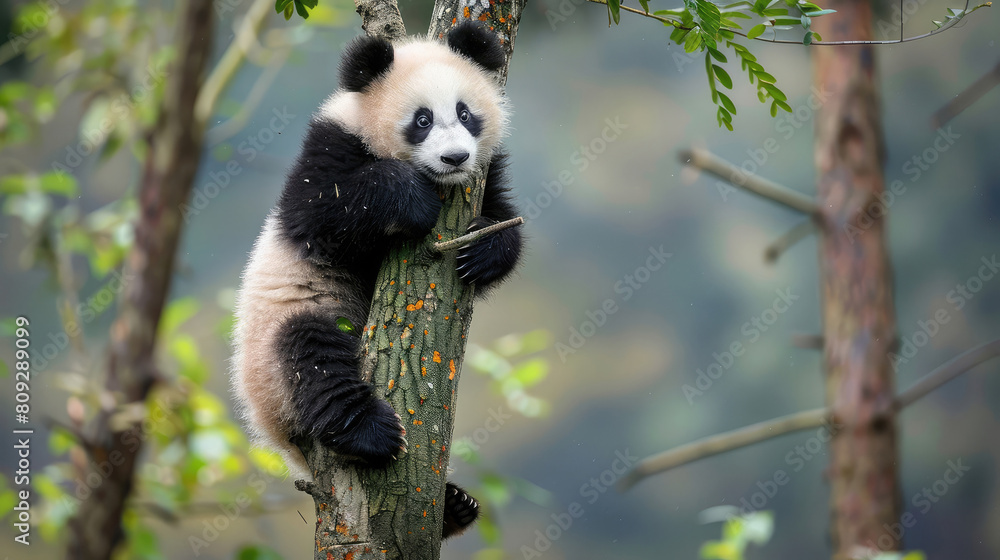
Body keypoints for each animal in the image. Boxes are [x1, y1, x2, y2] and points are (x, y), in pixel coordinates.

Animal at [230, 22, 522, 540]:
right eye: (422, 120)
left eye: (465, 113)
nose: (454, 158)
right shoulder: (329, 149)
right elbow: (321, 212)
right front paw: (410, 198)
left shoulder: (487, 172)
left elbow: (504, 217)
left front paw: (483, 252)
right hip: (281, 343)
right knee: (312, 358)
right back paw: (370, 432)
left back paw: (455, 507)